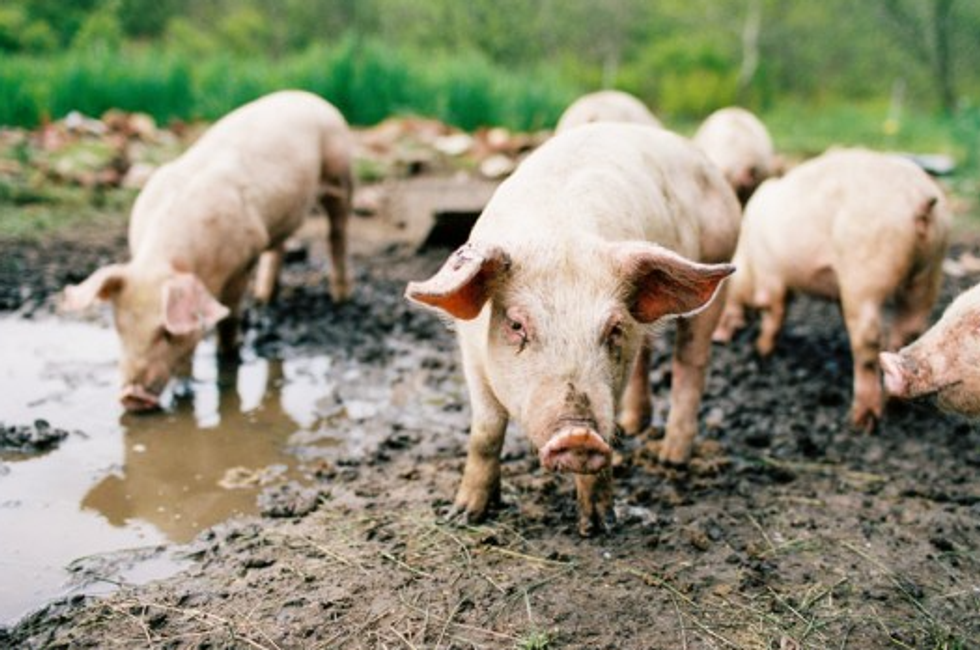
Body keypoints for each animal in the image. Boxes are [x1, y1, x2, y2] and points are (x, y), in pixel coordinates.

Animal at [62, 90, 354, 412]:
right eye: (120, 329)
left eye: (165, 333)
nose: (131, 396)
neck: (169, 260)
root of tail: (309, 96)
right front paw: (183, 391)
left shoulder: (244, 258)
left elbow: (229, 317)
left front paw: (229, 358)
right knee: (280, 245)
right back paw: (264, 298)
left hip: (340, 174)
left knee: (337, 234)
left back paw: (341, 298)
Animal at [406, 123, 739, 535]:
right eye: (516, 324)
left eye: (613, 328)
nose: (579, 433)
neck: (558, 232)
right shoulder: (472, 356)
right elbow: (485, 432)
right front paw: (463, 515)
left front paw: (598, 526)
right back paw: (633, 427)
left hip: (718, 258)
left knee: (690, 361)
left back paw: (670, 459)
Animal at [713, 148, 950, 431]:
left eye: (724, 292)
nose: (717, 339)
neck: (748, 256)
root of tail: (918, 199)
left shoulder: (772, 277)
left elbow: (774, 313)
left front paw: (762, 350)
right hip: (929, 272)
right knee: (909, 328)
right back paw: (893, 402)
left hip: (865, 274)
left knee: (868, 339)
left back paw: (862, 420)